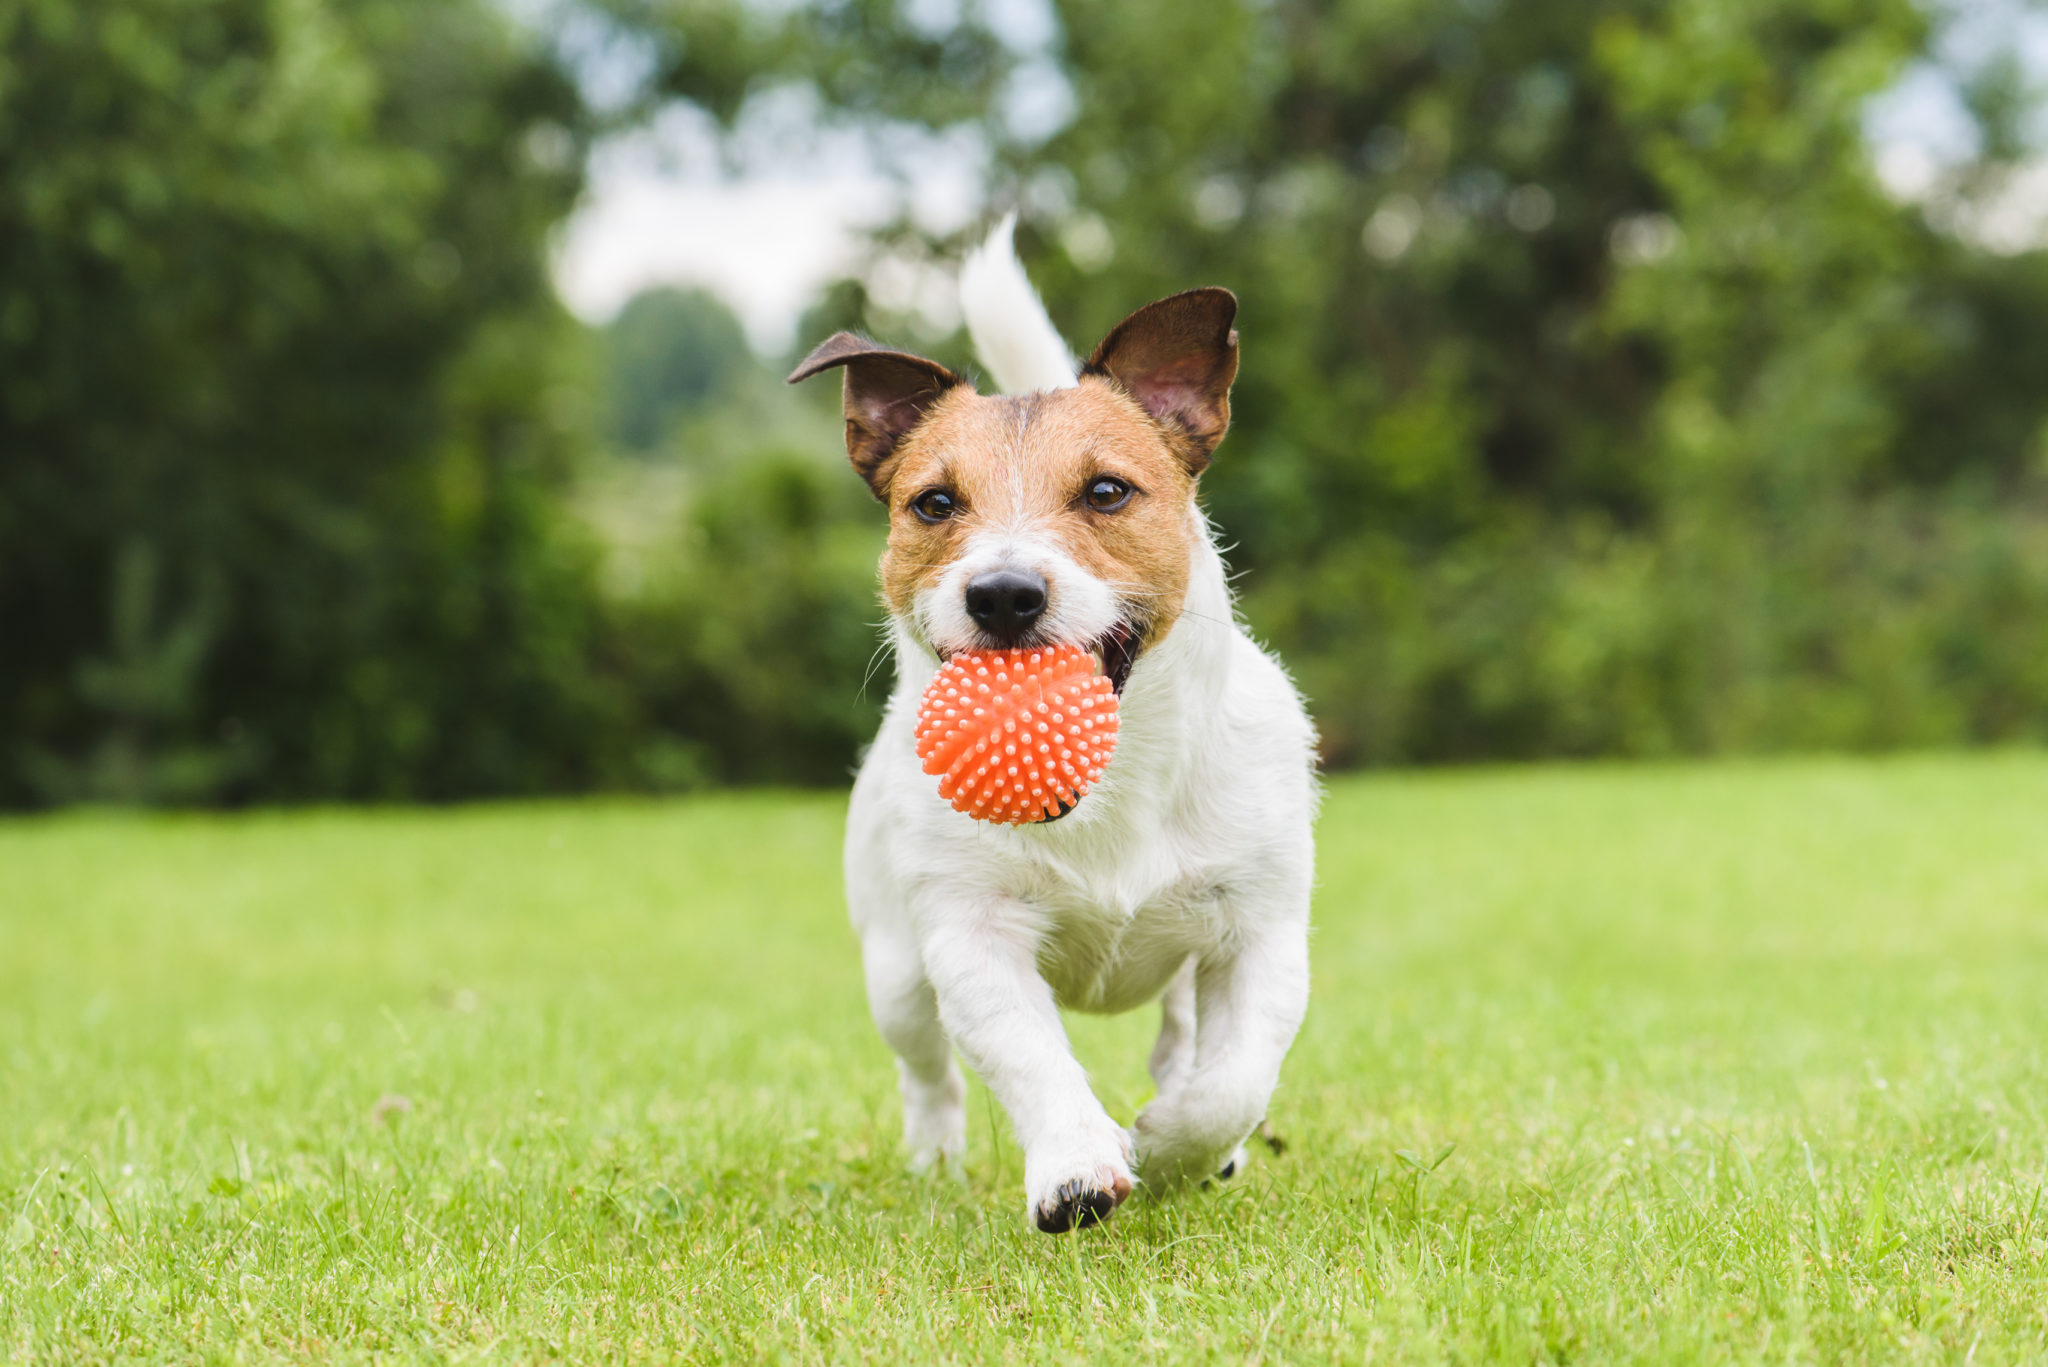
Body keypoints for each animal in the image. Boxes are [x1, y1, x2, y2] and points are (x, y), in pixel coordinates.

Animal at [782, 219, 1310, 1237]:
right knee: (927, 1071)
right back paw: (935, 1159)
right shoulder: (971, 936)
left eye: (1106, 492)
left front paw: (1175, 1144)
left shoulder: (1260, 930)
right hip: (895, 969)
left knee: (1184, 1035)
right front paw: (1077, 1167)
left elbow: (1232, 1080)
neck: (1112, 785)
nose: (1003, 593)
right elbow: (1030, 1056)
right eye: (934, 503)